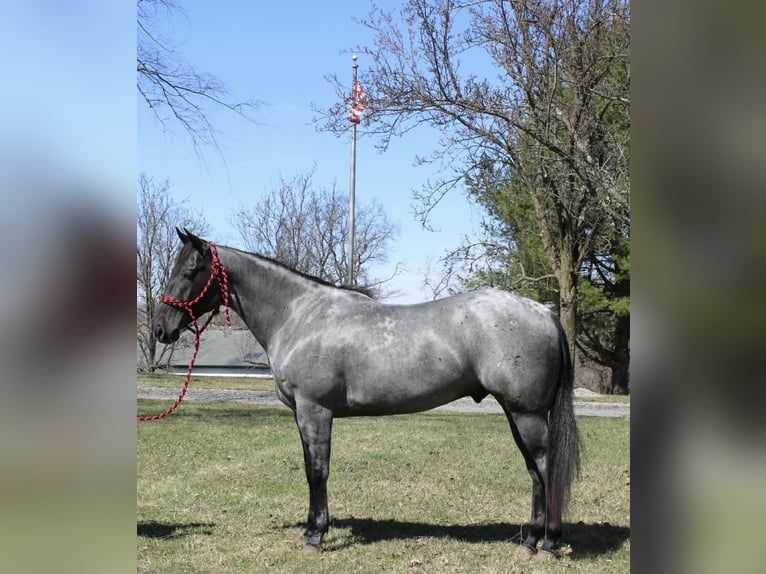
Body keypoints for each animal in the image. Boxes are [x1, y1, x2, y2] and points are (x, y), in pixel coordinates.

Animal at [153, 228, 580, 556]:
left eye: (190, 270)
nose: (161, 327)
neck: (300, 315)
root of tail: (544, 312)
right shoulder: (304, 414)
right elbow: (311, 468)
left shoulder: (314, 410)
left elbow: (317, 471)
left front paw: (315, 535)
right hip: (516, 413)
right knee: (535, 470)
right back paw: (530, 539)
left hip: (526, 414)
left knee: (544, 467)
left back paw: (548, 543)